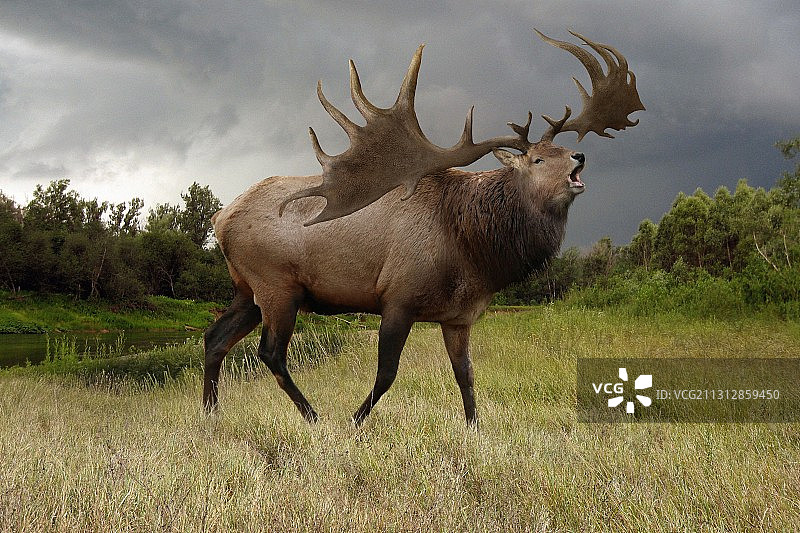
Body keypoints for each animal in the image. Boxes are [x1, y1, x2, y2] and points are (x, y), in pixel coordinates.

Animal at [203, 30, 644, 426]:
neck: (474, 252)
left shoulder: (459, 316)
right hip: (277, 284)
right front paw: (354, 422)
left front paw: (475, 429)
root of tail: (220, 219)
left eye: (561, 148)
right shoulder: (398, 296)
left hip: (247, 289)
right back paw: (313, 416)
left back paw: (211, 414)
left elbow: (466, 376)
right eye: (537, 159)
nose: (579, 156)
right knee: (270, 352)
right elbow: (386, 374)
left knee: (214, 337)